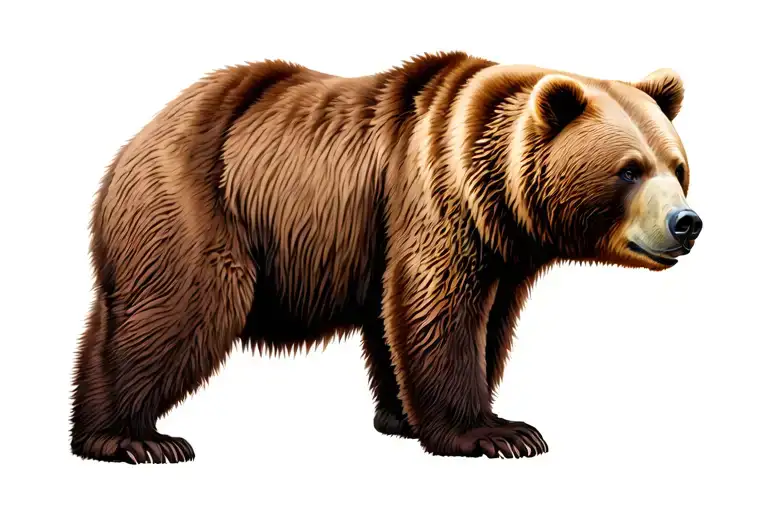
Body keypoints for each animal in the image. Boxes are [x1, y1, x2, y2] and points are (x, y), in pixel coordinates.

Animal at [70, 51, 702, 464]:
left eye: (677, 166)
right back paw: (133, 439)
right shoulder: (430, 196)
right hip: (194, 205)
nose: (686, 223)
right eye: (629, 170)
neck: (497, 192)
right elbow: (437, 308)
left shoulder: (500, 253)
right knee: (181, 311)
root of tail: (134, 142)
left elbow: (478, 323)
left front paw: (406, 416)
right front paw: (497, 434)